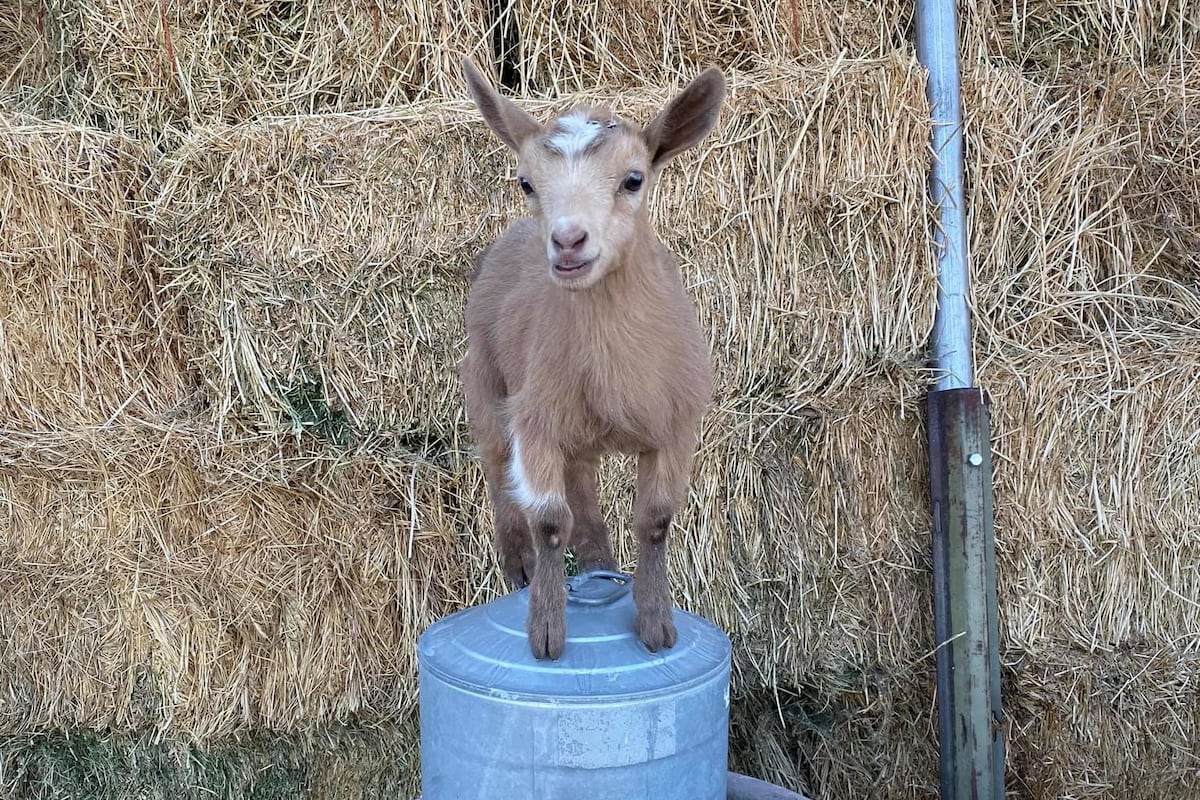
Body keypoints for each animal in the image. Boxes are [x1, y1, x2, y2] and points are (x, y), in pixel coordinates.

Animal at [456, 59, 720, 662]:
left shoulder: (677, 424)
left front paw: (655, 625)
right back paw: (520, 565)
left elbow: (656, 521)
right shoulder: (535, 419)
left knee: (583, 488)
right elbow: (550, 522)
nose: (568, 241)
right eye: (527, 182)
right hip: (486, 381)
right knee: (497, 468)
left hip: (574, 431)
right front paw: (546, 632)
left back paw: (601, 565)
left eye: (634, 179)